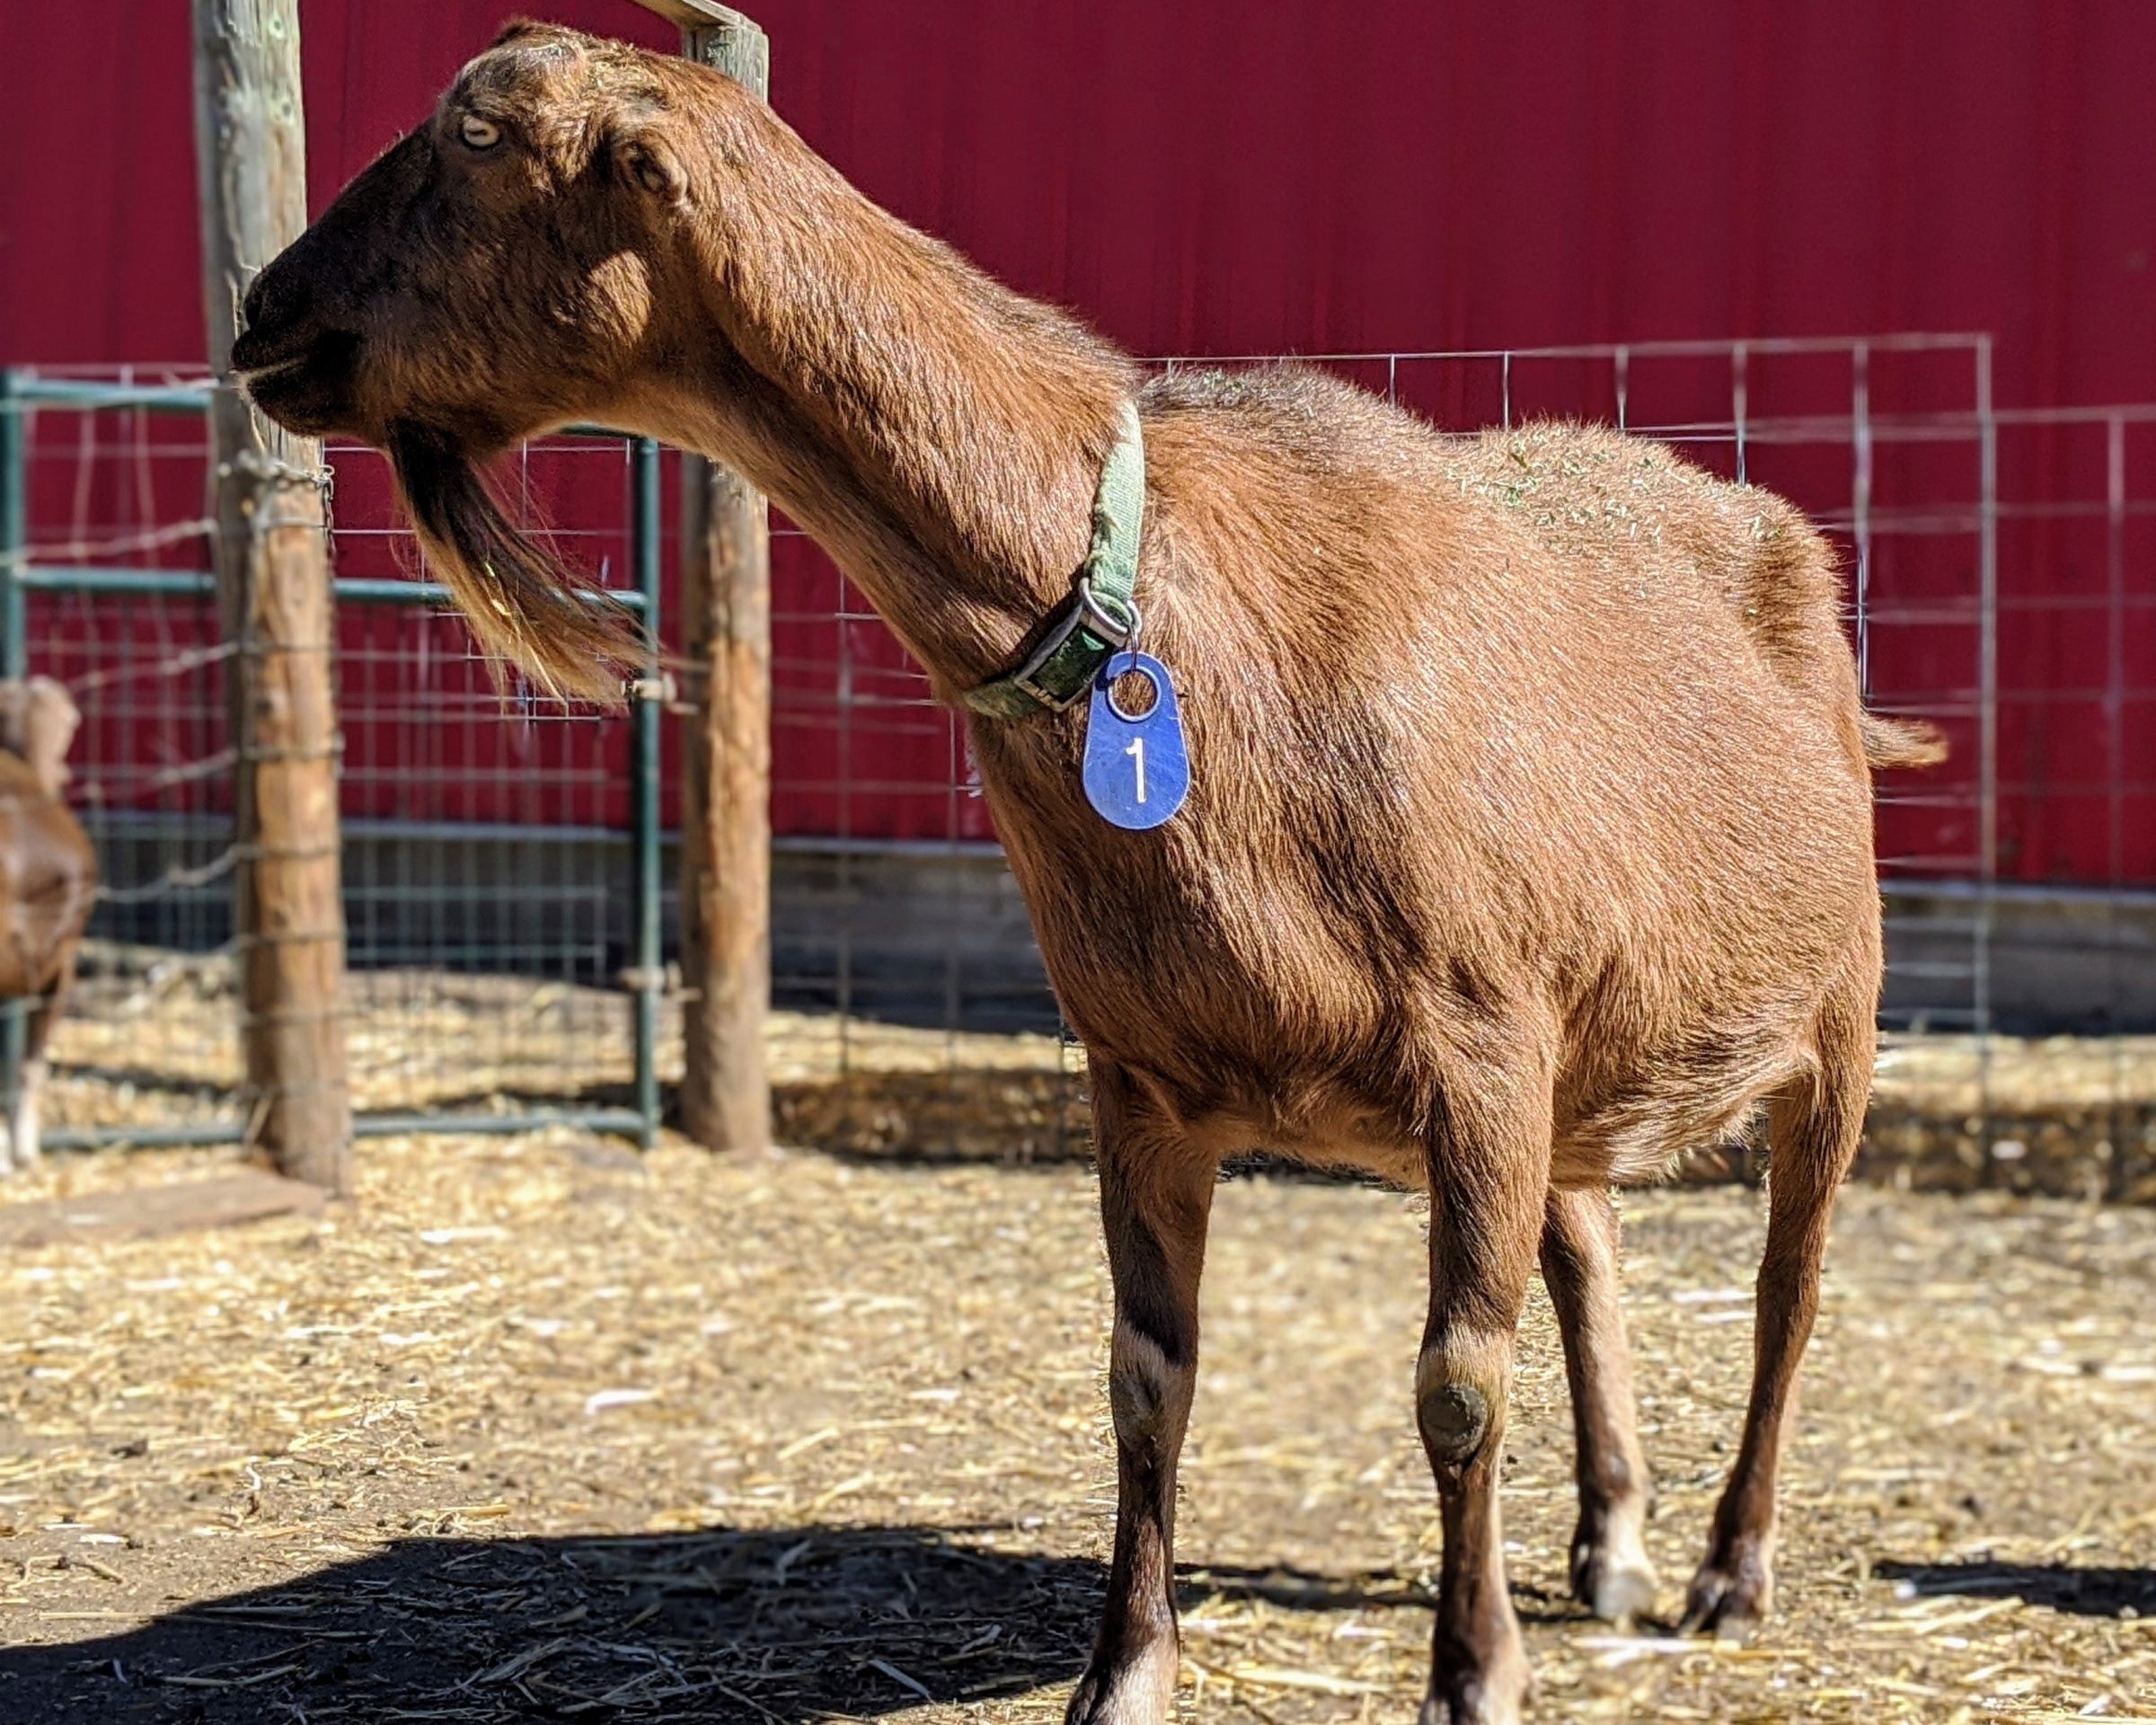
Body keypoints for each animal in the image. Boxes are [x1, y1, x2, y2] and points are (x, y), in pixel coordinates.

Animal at [232, 24, 1943, 1723]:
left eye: (479, 130)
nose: (260, 317)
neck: (1148, 610)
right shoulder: (1143, 1075)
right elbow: (1145, 1379)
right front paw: (1123, 1675)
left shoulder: (1481, 1047)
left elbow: (1458, 1385)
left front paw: (1472, 1679)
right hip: (1588, 1045)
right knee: (1591, 1251)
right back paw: (1614, 1543)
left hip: (1835, 1019)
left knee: (1788, 1291)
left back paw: (1729, 1570)